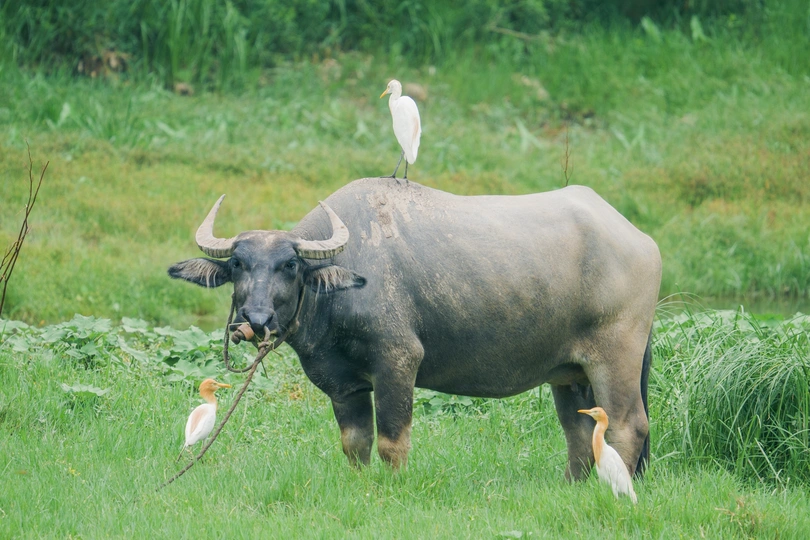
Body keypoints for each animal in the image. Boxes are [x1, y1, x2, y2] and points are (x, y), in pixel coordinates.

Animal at [169, 178, 661, 480]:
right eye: (238, 264)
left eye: (289, 265)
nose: (256, 319)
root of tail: (641, 240)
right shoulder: (344, 384)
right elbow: (355, 443)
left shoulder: (397, 362)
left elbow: (392, 441)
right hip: (569, 372)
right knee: (579, 432)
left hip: (617, 356)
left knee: (627, 426)